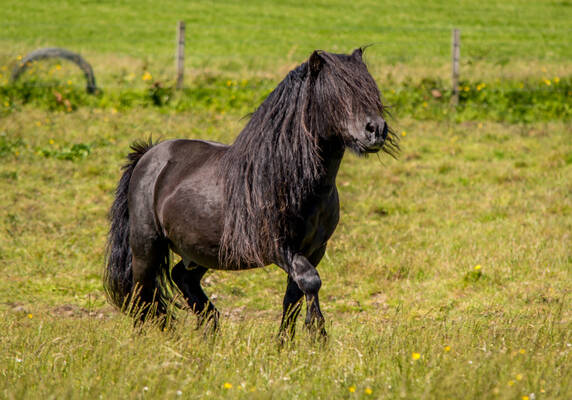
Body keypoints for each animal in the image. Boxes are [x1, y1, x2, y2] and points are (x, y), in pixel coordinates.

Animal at [103, 48, 398, 340]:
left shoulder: (314, 249)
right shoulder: (276, 246)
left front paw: (286, 344)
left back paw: (210, 329)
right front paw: (317, 334)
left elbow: (293, 297)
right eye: (338, 92)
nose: (376, 130)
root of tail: (150, 155)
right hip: (146, 247)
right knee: (141, 295)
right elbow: (310, 280)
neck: (286, 177)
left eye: (370, 89)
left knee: (180, 278)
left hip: (203, 250)